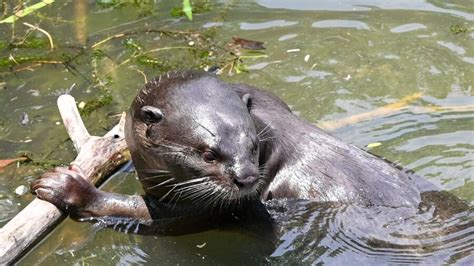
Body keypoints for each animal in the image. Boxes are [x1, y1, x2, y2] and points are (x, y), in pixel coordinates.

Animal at [31, 69, 424, 230]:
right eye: (208, 153)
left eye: (252, 145)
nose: (247, 178)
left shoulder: (202, 207)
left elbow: (148, 214)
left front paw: (66, 186)